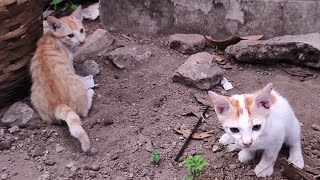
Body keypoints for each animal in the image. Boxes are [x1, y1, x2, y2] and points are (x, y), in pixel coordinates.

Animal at [30, 5, 94, 152]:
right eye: (70, 35)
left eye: (81, 30)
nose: (82, 41)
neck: (52, 37)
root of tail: (58, 103)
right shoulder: (70, 62)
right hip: (78, 83)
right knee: (83, 111)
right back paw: (90, 92)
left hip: (34, 95)